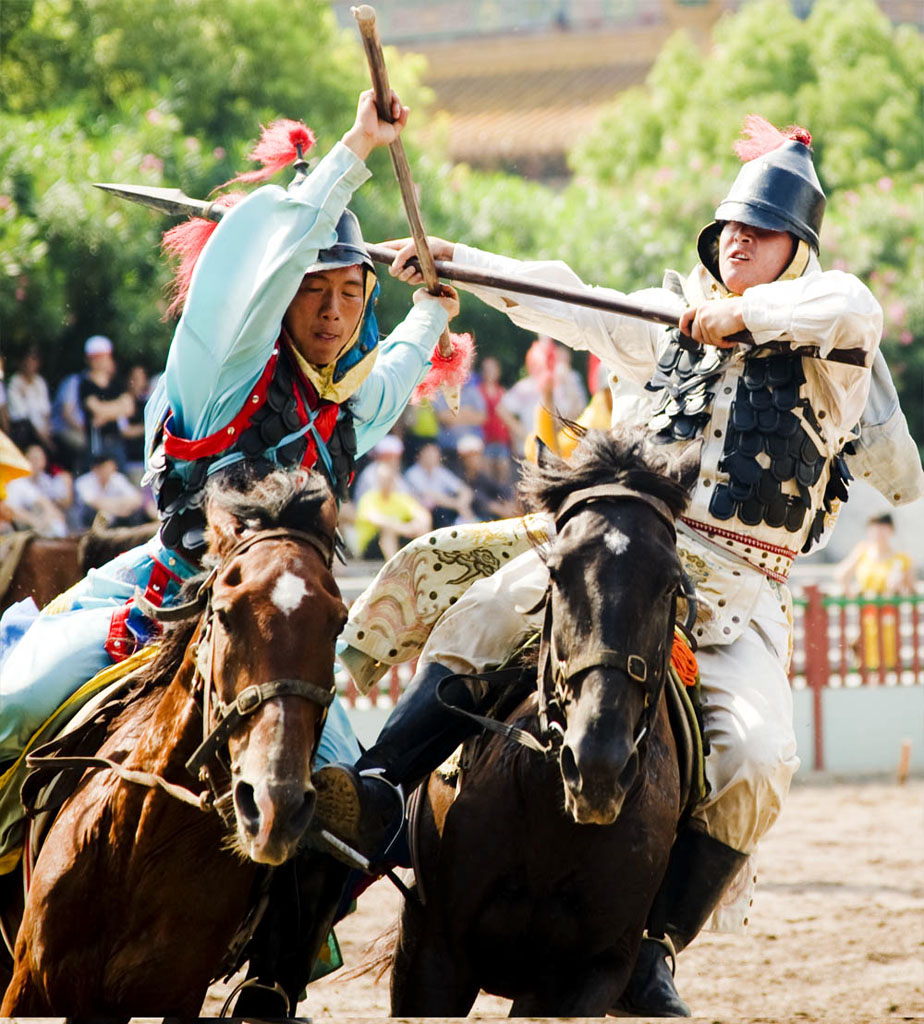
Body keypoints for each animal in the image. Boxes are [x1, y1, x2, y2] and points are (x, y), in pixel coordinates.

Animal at [0, 468, 348, 1015]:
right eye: (224, 613)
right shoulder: (28, 987)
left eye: (338, 621)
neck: (137, 840)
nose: (274, 803)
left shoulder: (172, 996)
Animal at [393, 430, 700, 1015]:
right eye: (556, 572)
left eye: (671, 582)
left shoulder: (590, 974)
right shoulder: (434, 955)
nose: (598, 765)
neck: (555, 830)